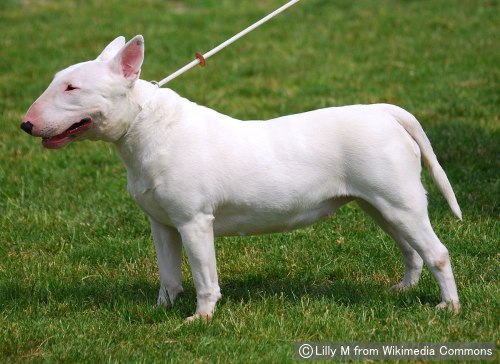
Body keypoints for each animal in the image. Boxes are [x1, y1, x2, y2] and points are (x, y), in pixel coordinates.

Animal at [21, 36, 462, 322]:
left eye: (72, 87)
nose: (25, 124)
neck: (147, 126)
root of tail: (384, 111)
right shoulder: (162, 223)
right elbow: (168, 274)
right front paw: (161, 310)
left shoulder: (195, 221)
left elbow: (205, 276)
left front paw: (200, 319)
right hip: (380, 205)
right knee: (410, 250)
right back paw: (403, 290)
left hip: (400, 202)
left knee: (436, 252)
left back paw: (449, 308)